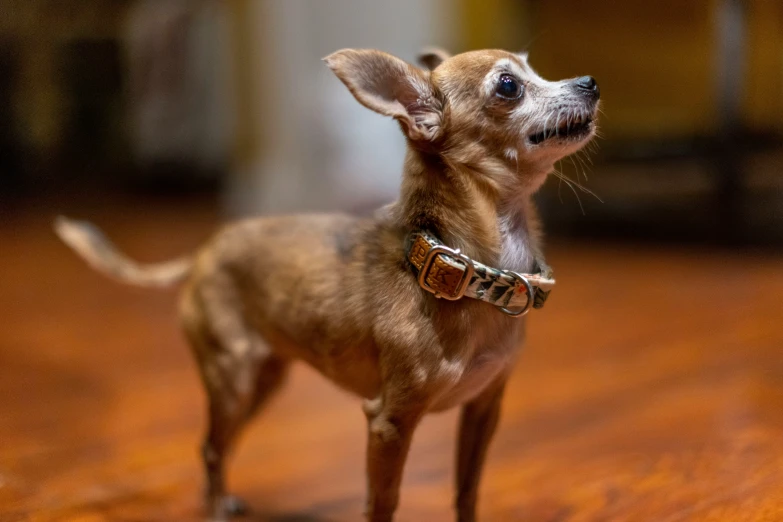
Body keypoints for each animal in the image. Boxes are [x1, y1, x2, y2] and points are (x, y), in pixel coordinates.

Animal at [56, 46, 600, 516]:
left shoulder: (484, 408)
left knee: (220, 444)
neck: (473, 269)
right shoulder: (389, 422)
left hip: (263, 380)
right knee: (210, 446)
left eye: (533, 67)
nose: (590, 82)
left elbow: (467, 492)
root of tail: (206, 249)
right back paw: (215, 509)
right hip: (233, 379)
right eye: (509, 85)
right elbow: (383, 502)